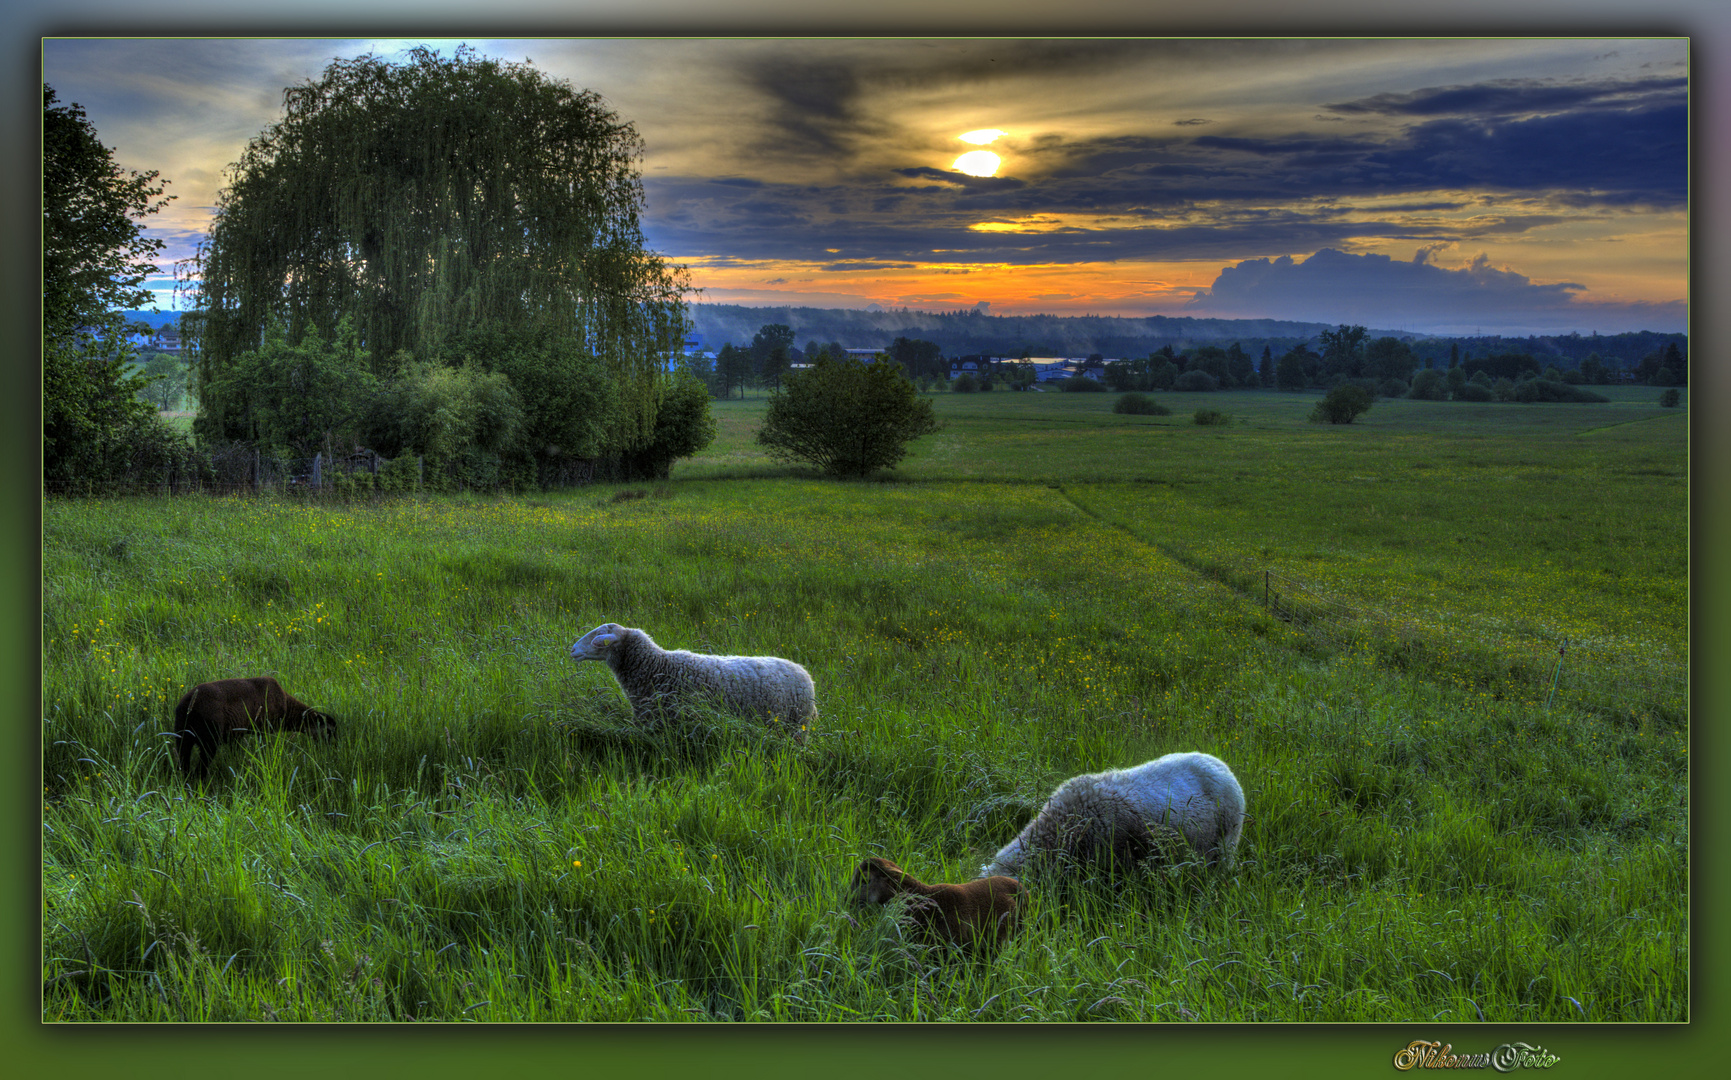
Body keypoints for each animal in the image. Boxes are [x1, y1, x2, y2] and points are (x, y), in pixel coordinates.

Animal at [172, 675, 337, 775]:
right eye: (328, 731)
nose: (334, 748)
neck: (287, 706)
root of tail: (187, 707)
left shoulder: (236, 735)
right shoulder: (263, 729)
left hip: (182, 737)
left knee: (183, 765)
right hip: (209, 739)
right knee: (200, 769)